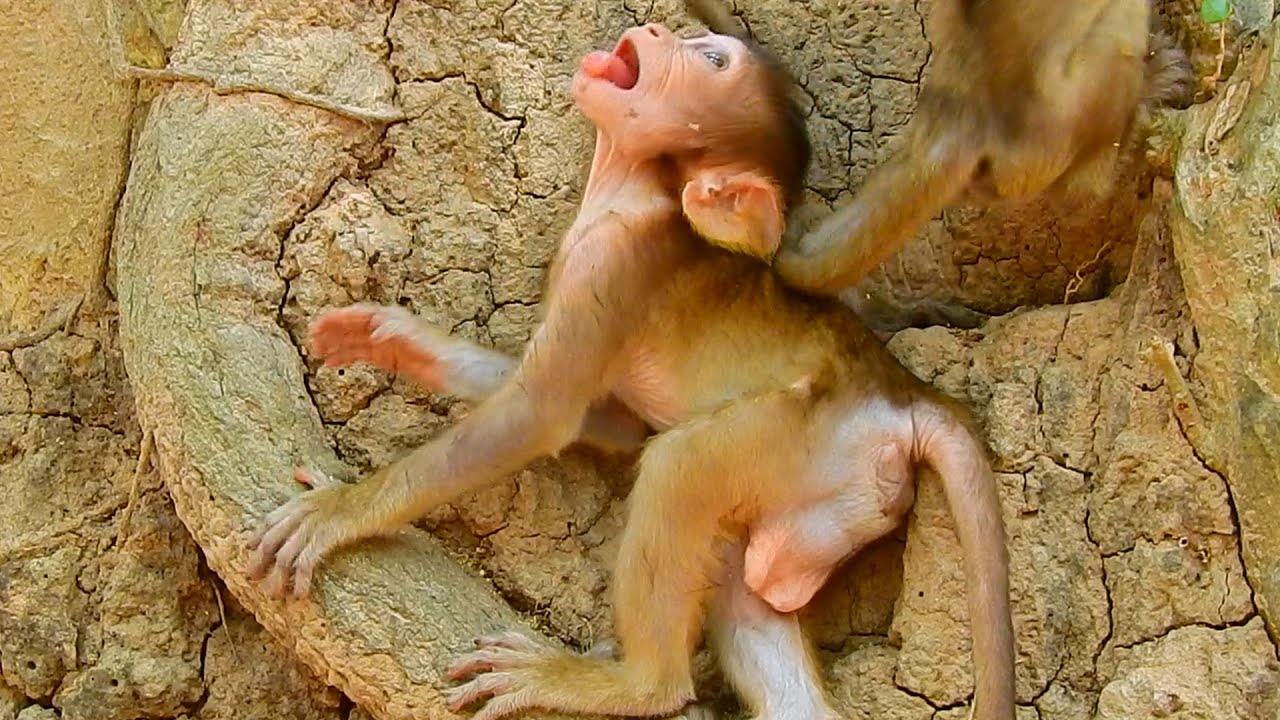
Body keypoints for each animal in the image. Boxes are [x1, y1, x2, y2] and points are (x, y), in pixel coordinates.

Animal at [248, 20, 1015, 720]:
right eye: (699, 41)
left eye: (712, 60)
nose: (653, 26)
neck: (630, 188)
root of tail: (902, 391)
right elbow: (610, 421)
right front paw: (393, 340)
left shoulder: (615, 263)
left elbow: (542, 414)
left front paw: (344, 511)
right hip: (817, 498)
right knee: (741, 583)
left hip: (808, 435)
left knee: (681, 466)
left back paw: (632, 685)